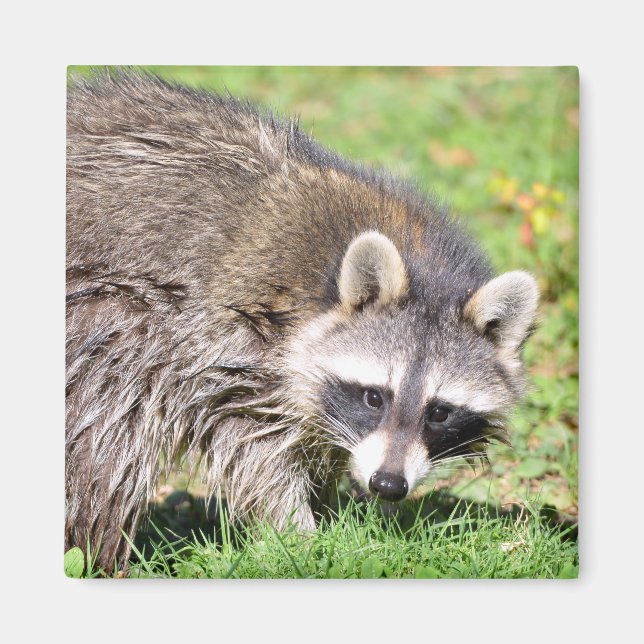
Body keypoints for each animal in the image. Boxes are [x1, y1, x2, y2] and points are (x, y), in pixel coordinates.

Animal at [66, 71, 538, 569]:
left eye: (440, 412)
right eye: (374, 397)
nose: (388, 485)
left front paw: (328, 506)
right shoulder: (224, 343)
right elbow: (250, 446)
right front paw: (298, 533)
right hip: (108, 310)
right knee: (109, 419)